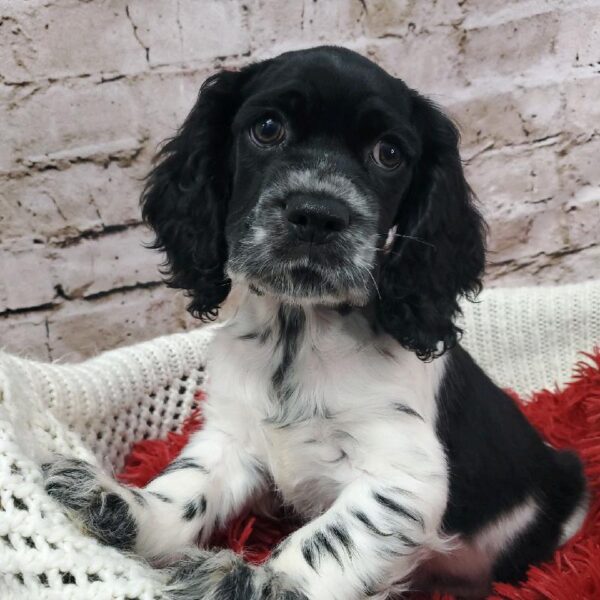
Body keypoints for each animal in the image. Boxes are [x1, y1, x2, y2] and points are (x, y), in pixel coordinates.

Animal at [44, 48, 588, 600]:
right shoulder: (232, 435)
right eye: (267, 128)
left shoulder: (403, 477)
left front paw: (257, 581)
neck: (298, 332)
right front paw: (120, 505)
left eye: (389, 153)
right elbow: (187, 486)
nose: (317, 215)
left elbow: (329, 541)